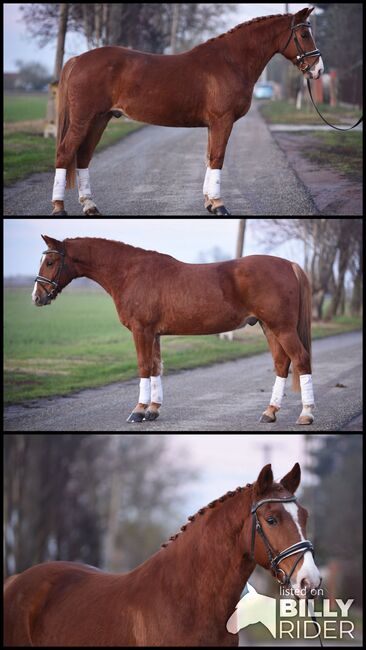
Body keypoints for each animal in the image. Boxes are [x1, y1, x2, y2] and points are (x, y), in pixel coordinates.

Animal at [33, 235, 316, 422]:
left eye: (50, 262)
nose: (37, 297)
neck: (130, 273)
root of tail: (289, 264)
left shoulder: (142, 330)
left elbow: (143, 366)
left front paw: (138, 410)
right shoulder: (154, 334)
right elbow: (156, 367)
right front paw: (153, 409)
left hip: (282, 328)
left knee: (300, 359)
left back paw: (306, 414)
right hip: (269, 327)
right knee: (282, 363)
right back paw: (269, 412)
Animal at [51, 7, 324, 215]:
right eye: (303, 34)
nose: (318, 69)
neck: (230, 62)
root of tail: (78, 60)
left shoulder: (213, 125)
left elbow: (208, 158)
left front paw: (210, 203)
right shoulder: (223, 121)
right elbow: (218, 158)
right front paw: (220, 206)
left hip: (100, 119)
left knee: (83, 156)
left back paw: (90, 206)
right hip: (84, 119)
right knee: (65, 153)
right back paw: (59, 208)